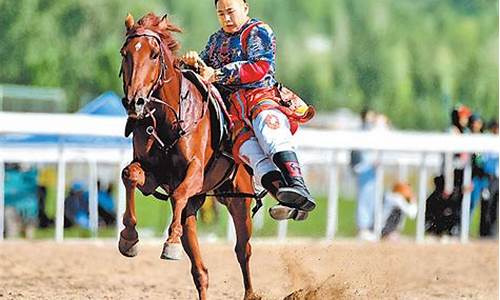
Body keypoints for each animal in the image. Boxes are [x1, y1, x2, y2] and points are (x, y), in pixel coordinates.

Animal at [118, 12, 262, 298]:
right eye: (124, 53)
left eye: (154, 54)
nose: (134, 102)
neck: (168, 119)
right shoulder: (152, 175)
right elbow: (130, 175)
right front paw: (129, 237)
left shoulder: (194, 174)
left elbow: (177, 194)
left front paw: (170, 241)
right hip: (197, 206)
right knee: (200, 271)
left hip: (239, 198)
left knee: (243, 250)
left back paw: (250, 292)